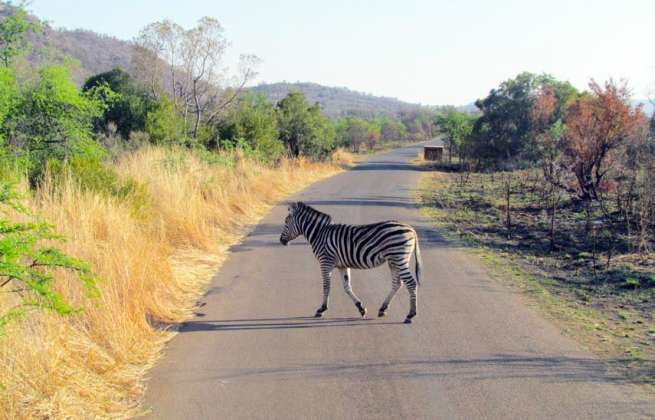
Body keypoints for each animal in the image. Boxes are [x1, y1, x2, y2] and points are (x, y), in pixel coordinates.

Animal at [280, 202, 422, 324]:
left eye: (286, 222)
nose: (281, 241)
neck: (319, 234)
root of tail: (411, 229)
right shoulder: (342, 265)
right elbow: (347, 287)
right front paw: (361, 308)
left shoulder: (326, 262)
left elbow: (326, 286)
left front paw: (321, 309)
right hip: (394, 260)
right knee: (397, 283)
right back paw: (383, 309)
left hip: (398, 258)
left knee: (411, 283)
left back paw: (410, 315)